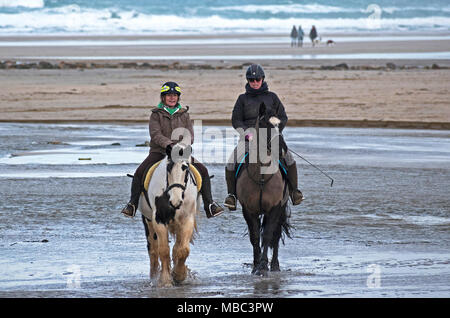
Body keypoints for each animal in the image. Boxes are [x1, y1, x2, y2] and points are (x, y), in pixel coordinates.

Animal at [236, 102, 292, 276]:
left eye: (279, 125)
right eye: (264, 124)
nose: (282, 149)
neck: (261, 175)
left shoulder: (275, 208)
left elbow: (267, 236)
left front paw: (262, 266)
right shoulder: (248, 209)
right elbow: (254, 236)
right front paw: (256, 266)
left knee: (276, 235)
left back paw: (274, 265)